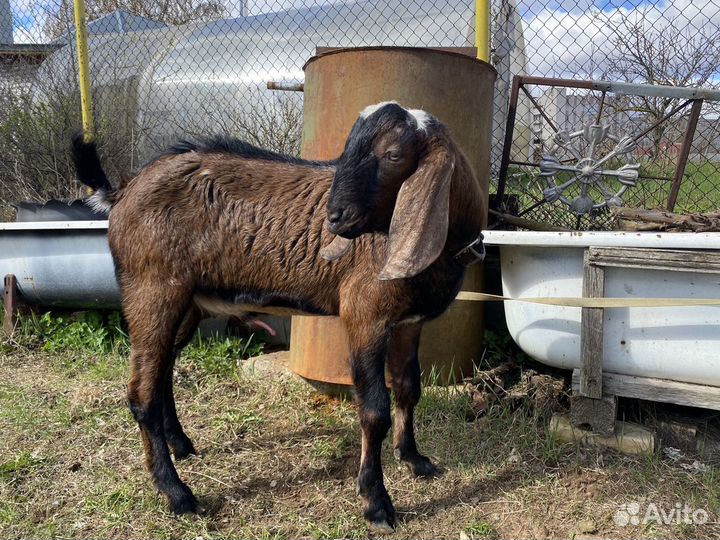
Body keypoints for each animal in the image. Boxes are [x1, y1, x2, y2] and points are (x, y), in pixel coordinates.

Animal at [71, 101, 490, 532]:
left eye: (393, 155)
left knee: (163, 371)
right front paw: (376, 503)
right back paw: (177, 494)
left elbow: (409, 388)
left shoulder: (409, 322)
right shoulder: (364, 314)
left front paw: (415, 461)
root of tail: (124, 189)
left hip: (187, 303)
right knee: (142, 392)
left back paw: (182, 446)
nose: (335, 217)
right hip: (151, 289)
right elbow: (375, 409)